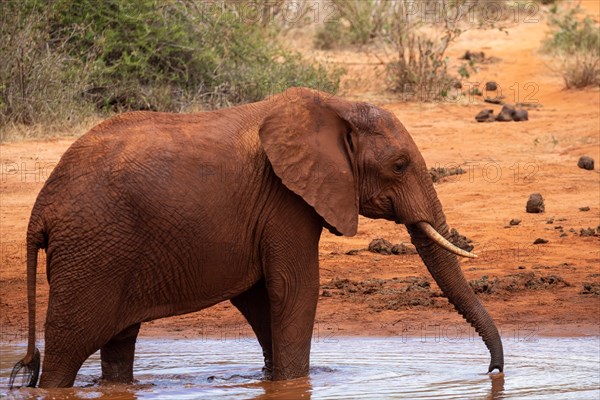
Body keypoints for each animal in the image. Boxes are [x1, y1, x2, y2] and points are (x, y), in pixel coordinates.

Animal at [10, 86, 502, 388]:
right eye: (399, 165)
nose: (494, 372)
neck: (333, 105)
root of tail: (40, 210)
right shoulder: (285, 200)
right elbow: (295, 289)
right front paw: (294, 382)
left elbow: (262, 296)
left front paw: (275, 381)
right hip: (91, 251)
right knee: (66, 351)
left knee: (118, 343)